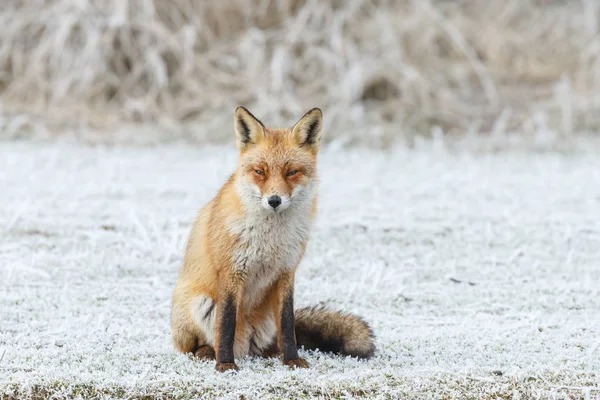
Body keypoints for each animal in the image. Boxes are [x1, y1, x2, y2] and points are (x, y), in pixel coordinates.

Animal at [170, 107, 376, 372]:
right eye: (260, 171)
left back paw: (272, 353)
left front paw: (292, 360)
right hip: (200, 304)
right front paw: (225, 365)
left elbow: (288, 325)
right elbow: (225, 325)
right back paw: (208, 352)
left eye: (291, 172)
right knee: (194, 345)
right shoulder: (231, 272)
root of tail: (245, 348)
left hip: (266, 320)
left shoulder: (286, 272)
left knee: (270, 341)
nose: (274, 200)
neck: (271, 239)